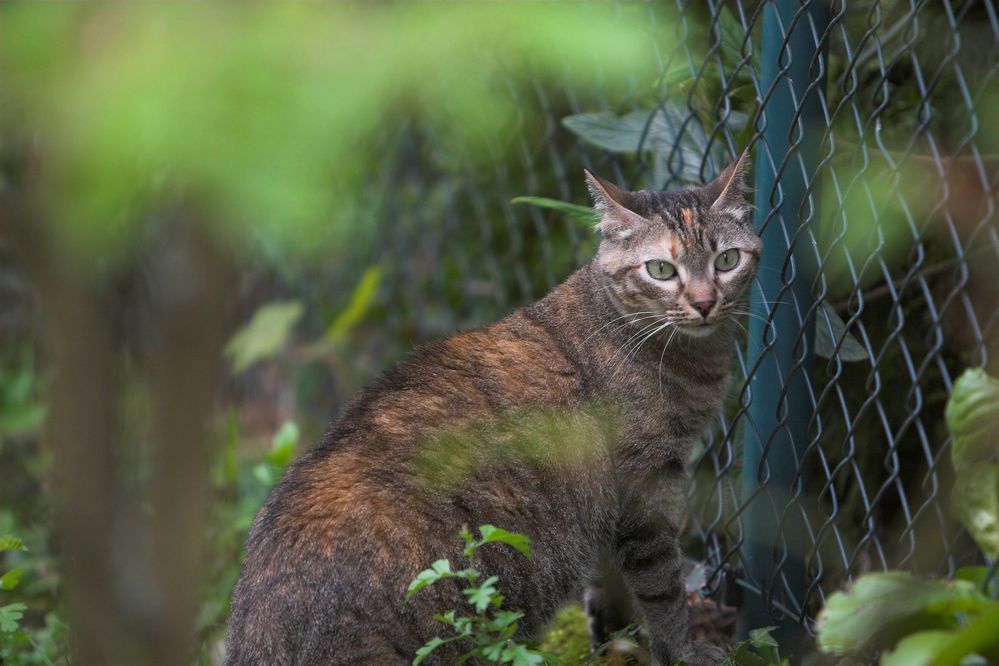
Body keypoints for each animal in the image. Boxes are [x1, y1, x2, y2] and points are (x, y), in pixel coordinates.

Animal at [227, 152, 756, 664]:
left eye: (727, 260)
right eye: (661, 270)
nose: (705, 302)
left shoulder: (616, 509)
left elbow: (610, 592)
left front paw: (616, 646)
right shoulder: (646, 490)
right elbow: (663, 590)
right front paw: (683, 652)